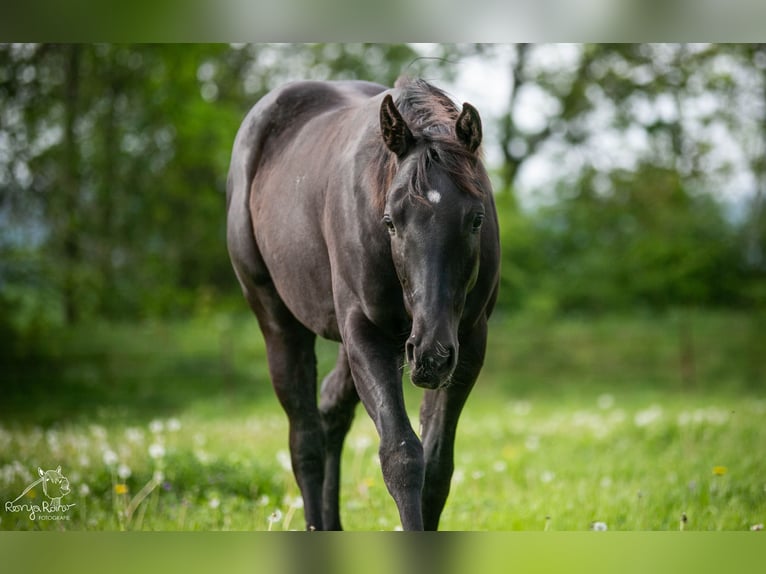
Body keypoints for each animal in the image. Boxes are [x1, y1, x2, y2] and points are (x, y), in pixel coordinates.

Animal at [226, 77, 500, 530]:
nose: (431, 354)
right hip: (278, 322)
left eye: (476, 219)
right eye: (390, 221)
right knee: (305, 440)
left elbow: (437, 468)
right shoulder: (367, 335)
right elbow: (401, 456)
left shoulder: (469, 344)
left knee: (331, 411)